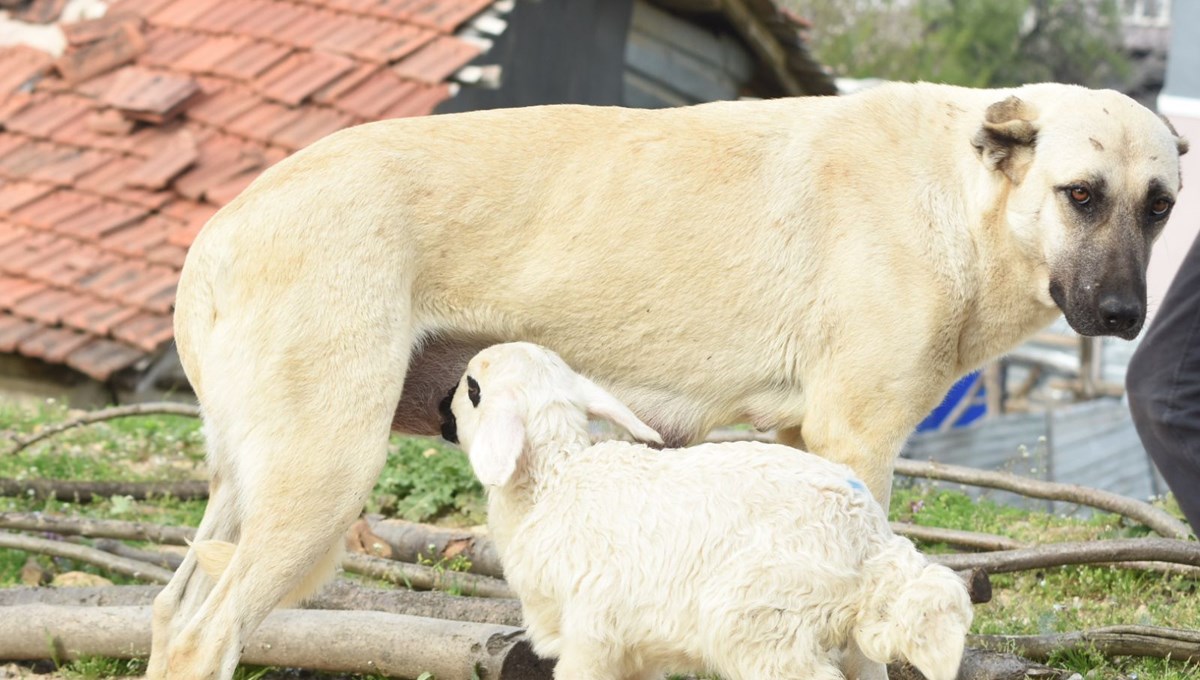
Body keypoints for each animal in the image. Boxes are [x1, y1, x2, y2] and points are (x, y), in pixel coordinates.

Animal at [448, 345, 974, 680]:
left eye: (472, 388)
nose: (441, 406)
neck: (554, 480)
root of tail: (871, 541)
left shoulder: (591, 636)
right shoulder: (638, 646)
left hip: (762, 623)